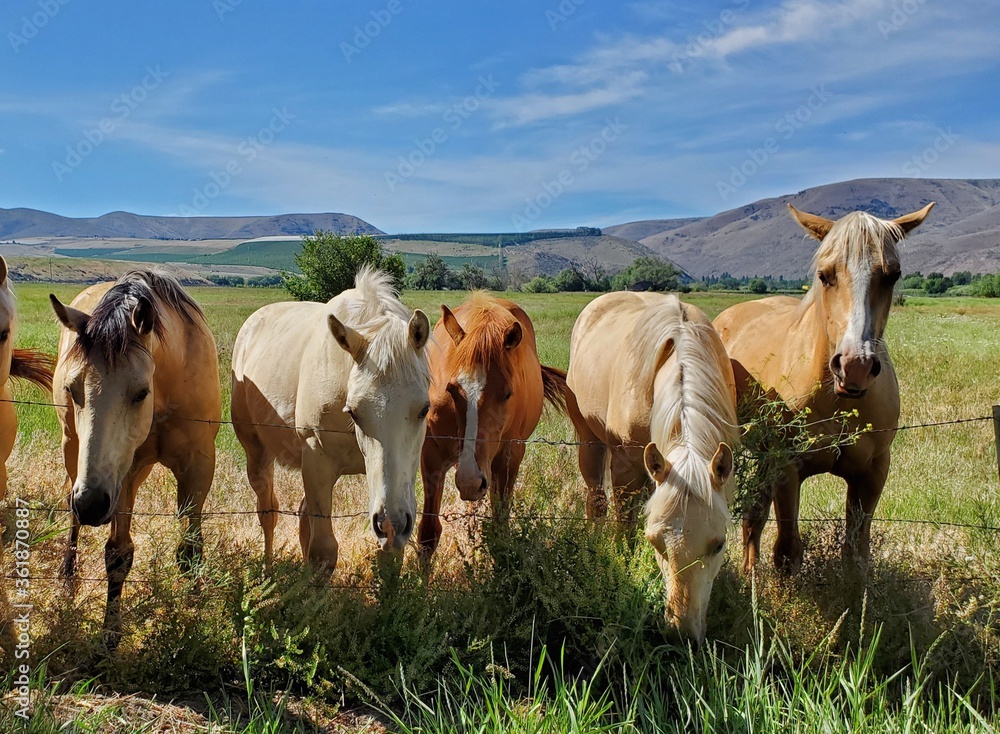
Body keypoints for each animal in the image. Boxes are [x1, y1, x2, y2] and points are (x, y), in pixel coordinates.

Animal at [50, 271, 221, 648]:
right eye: (73, 389)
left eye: (141, 391)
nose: (92, 503)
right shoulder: (122, 476)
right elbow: (118, 554)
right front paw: (109, 636)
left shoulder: (199, 465)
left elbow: (190, 548)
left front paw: (195, 604)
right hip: (74, 450)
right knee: (70, 511)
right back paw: (67, 577)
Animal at [231, 268, 430, 570]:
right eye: (354, 412)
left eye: (424, 410)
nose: (391, 523)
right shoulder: (316, 462)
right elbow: (323, 550)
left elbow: (389, 557)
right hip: (257, 452)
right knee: (267, 512)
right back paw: (267, 569)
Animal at [417, 293, 568, 560]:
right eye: (451, 389)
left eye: (507, 394)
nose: (470, 481)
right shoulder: (432, 454)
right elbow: (428, 533)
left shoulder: (508, 459)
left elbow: (500, 531)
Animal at [566, 291, 738, 644]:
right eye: (656, 542)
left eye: (718, 544)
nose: (680, 634)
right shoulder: (625, 470)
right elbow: (625, 527)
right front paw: (623, 566)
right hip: (589, 439)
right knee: (595, 500)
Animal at [713, 202, 934, 574]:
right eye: (824, 275)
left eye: (892, 275)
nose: (855, 366)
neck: (836, 399)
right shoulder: (788, 469)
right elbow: (787, 550)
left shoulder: (873, 473)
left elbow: (856, 552)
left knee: (753, 515)